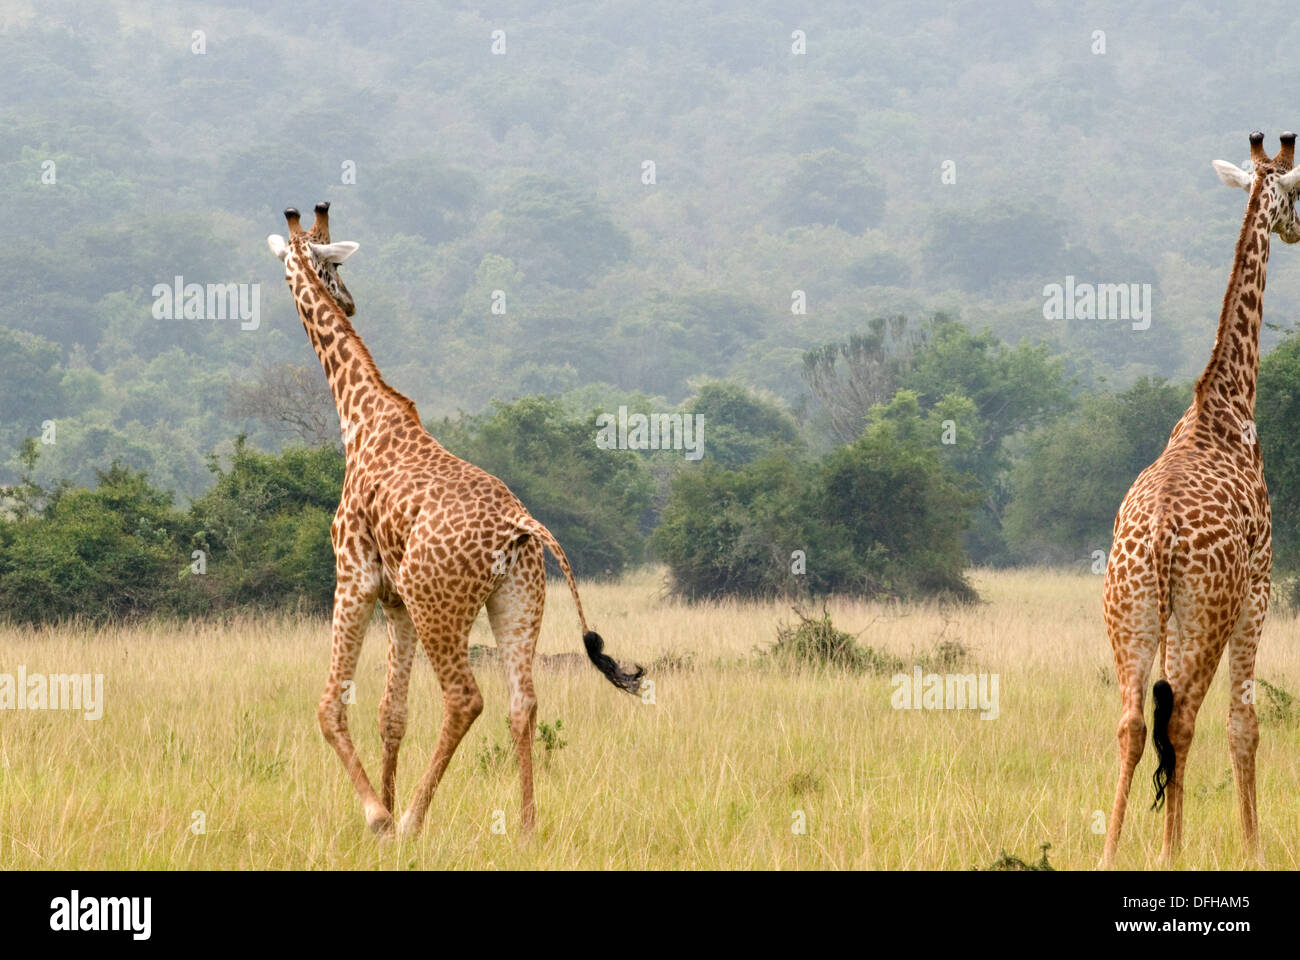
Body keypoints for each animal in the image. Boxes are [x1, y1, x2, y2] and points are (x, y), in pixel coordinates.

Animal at [266, 202, 644, 837]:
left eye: (334, 264)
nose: (350, 302)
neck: (359, 415)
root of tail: (523, 526)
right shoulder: (396, 600)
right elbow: (391, 713)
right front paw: (384, 809)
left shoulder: (355, 576)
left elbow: (330, 705)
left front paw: (378, 815)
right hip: (516, 600)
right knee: (522, 703)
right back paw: (526, 828)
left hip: (440, 604)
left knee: (466, 698)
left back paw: (415, 817)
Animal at [1100, 132, 1300, 867]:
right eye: (1295, 193)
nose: (1297, 229)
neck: (1226, 402)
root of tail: (1160, 541)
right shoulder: (1260, 586)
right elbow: (1245, 721)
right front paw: (1253, 846)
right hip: (1203, 615)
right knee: (1182, 719)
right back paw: (1167, 851)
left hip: (1129, 612)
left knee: (1134, 722)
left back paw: (1114, 849)